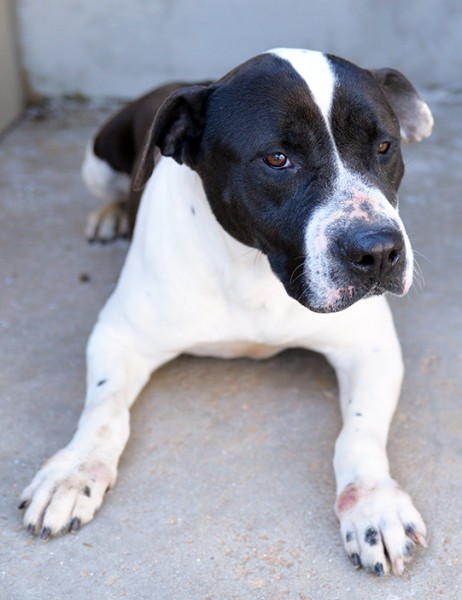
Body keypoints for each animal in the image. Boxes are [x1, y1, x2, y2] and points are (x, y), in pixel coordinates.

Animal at [20, 48, 434, 576]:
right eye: (277, 159)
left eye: (384, 146)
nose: (379, 252)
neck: (254, 270)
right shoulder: (118, 334)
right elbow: (105, 409)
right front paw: (74, 472)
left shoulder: (372, 348)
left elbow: (358, 433)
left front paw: (372, 501)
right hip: (96, 161)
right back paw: (109, 215)